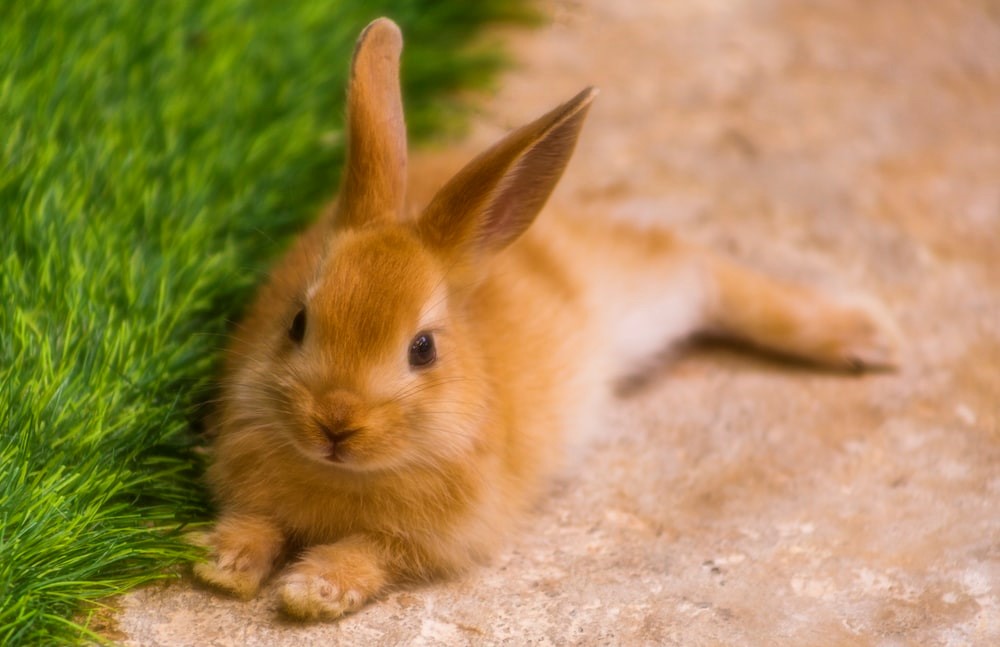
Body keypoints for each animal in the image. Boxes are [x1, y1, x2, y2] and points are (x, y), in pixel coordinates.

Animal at [191, 17, 901, 620]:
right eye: (297, 322)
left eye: (423, 349)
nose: (335, 423)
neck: (345, 472)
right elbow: (257, 522)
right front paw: (221, 564)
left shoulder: (434, 537)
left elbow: (368, 553)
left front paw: (312, 590)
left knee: (700, 268)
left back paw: (866, 340)